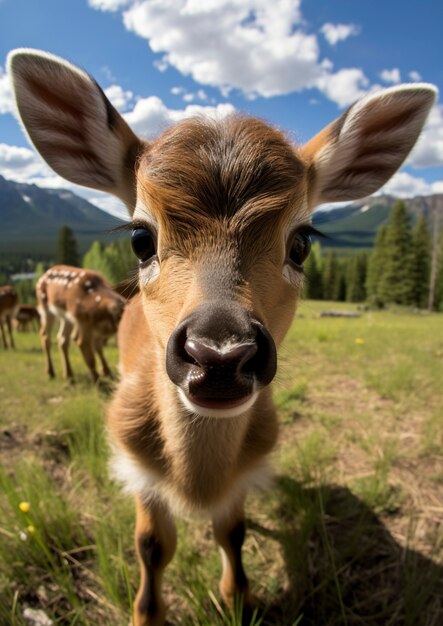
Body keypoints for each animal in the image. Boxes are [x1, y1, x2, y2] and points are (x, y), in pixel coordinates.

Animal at [8, 48, 438, 624]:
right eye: (140, 237)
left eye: (302, 242)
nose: (218, 353)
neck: (199, 483)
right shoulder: (133, 460)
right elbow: (151, 546)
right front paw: (148, 611)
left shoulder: (248, 470)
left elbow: (232, 532)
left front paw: (238, 596)